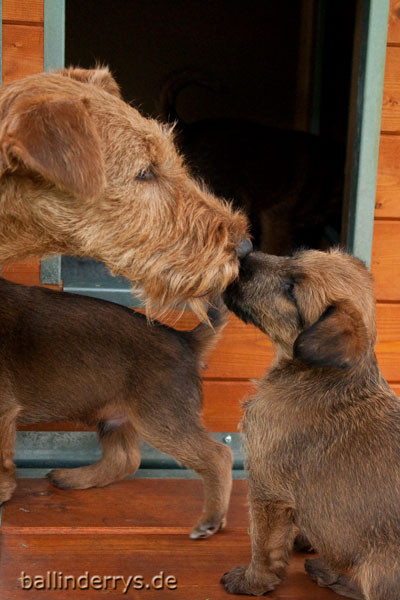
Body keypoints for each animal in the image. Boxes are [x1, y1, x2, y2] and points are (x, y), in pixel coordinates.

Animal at [0, 278, 231, 540]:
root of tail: (186, 340)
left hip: (160, 418)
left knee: (218, 455)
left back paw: (211, 519)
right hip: (115, 419)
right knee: (124, 459)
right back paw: (73, 478)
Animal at [222, 247, 400, 596]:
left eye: (292, 290)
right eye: (294, 256)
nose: (243, 253)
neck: (321, 376)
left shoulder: (267, 490)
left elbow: (264, 547)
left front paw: (250, 582)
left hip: (380, 569)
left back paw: (328, 573)